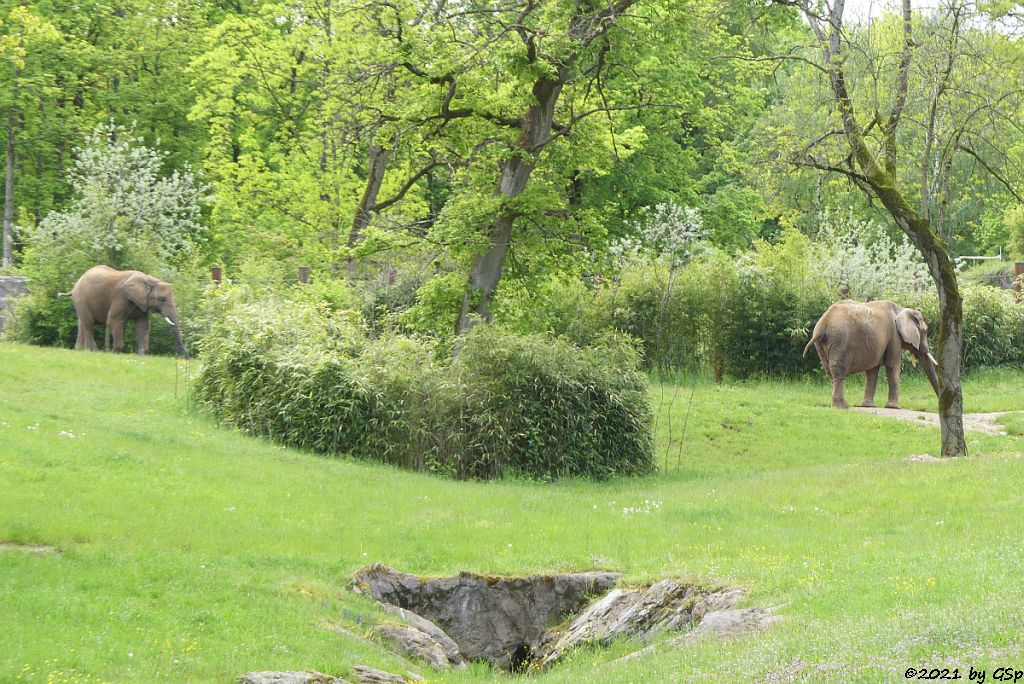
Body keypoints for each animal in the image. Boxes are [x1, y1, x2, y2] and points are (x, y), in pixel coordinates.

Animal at [802, 296, 937, 405]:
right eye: (925, 331)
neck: (900, 309)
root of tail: (824, 322)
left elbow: (872, 370)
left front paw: (868, 405)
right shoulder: (894, 336)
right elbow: (893, 365)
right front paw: (893, 407)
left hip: (821, 344)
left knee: (829, 371)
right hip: (840, 340)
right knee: (838, 370)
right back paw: (842, 406)